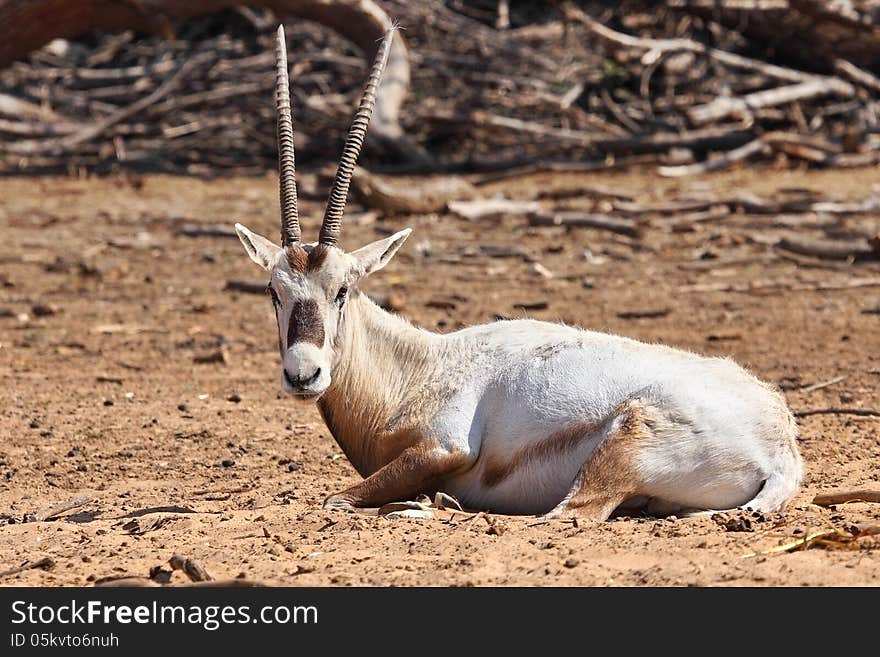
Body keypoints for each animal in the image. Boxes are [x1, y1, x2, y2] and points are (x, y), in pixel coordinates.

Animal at [234, 25, 804, 520]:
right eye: (273, 291)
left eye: (343, 289)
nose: (303, 375)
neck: (419, 366)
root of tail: (781, 450)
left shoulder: (444, 447)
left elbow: (339, 497)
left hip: (621, 442)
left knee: (563, 516)